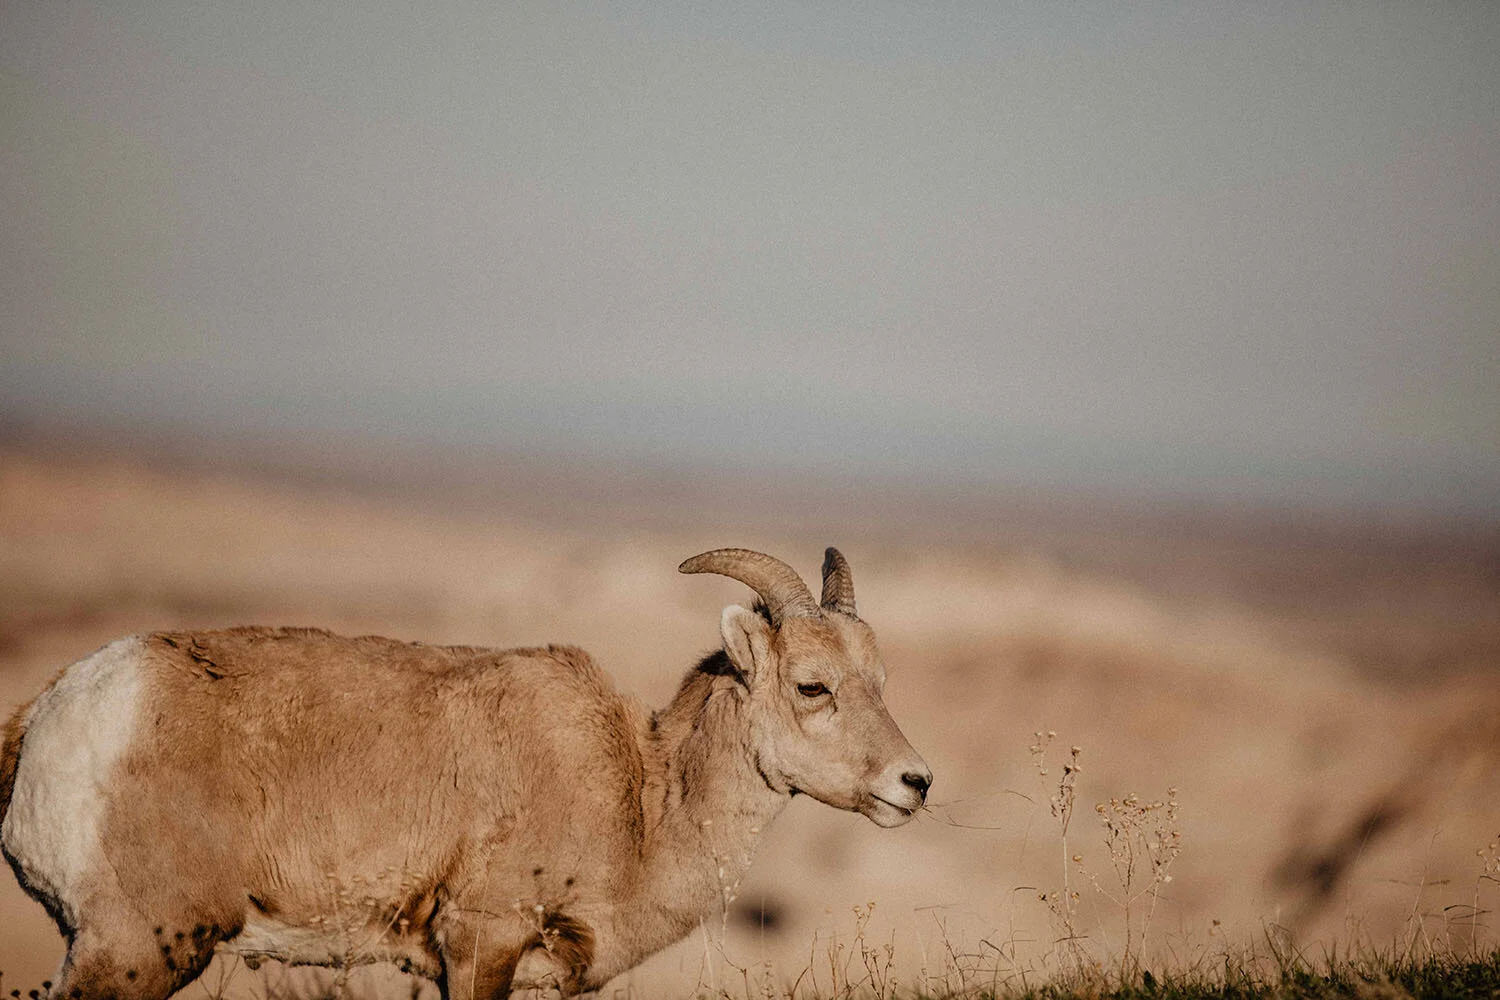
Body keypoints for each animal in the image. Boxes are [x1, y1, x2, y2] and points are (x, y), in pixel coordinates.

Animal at [1, 547, 931, 999]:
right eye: (812, 686)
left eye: (881, 680)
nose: (913, 784)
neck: (639, 797)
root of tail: (59, 712)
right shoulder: (480, 946)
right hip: (133, 954)